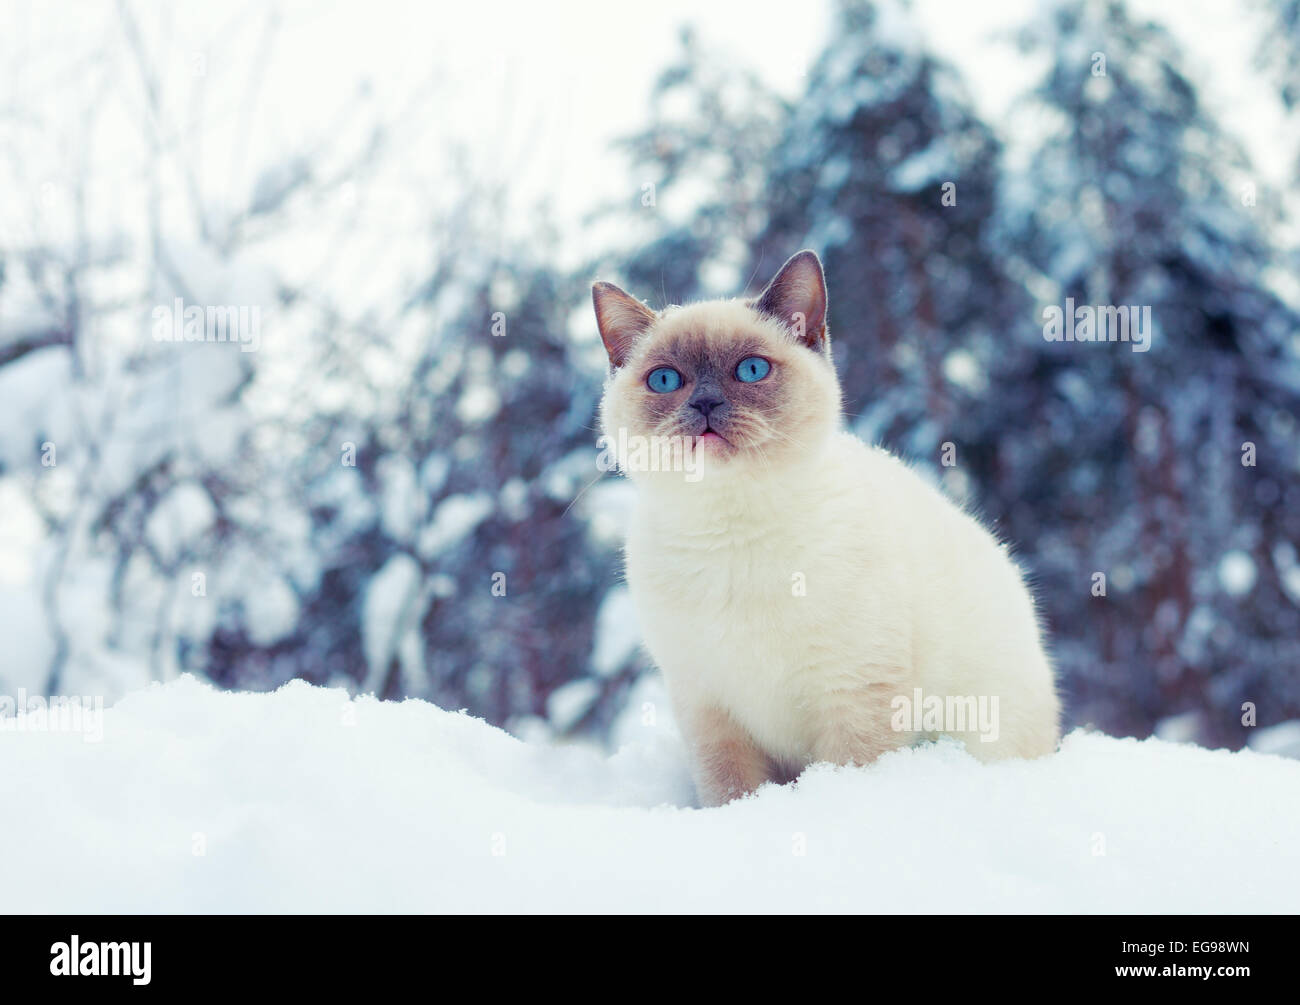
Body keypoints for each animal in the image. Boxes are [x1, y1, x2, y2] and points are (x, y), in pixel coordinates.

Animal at [595, 250, 1060, 806]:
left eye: (751, 370)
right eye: (665, 380)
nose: (705, 404)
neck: (730, 534)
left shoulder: (854, 696)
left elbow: (846, 778)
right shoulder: (710, 712)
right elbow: (733, 793)